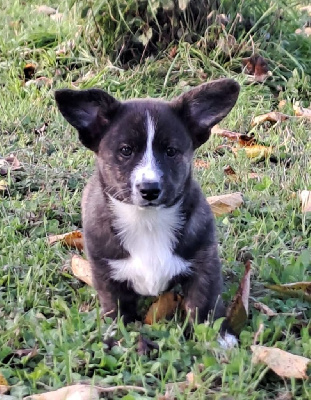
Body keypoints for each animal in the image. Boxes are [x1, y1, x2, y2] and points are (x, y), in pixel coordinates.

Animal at [55, 79, 241, 328]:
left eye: (171, 151)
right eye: (126, 150)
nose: (150, 189)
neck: (147, 221)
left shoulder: (204, 265)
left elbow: (204, 306)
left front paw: (219, 335)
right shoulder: (107, 274)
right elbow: (118, 312)